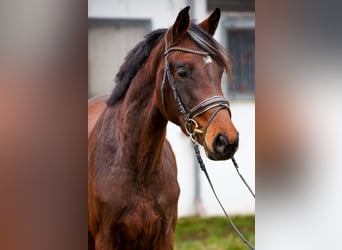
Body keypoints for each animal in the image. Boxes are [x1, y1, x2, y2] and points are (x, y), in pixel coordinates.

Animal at [88, 6, 238, 250]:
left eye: (220, 71)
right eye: (182, 72)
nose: (227, 141)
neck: (138, 168)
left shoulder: (165, 236)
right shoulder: (105, 239)